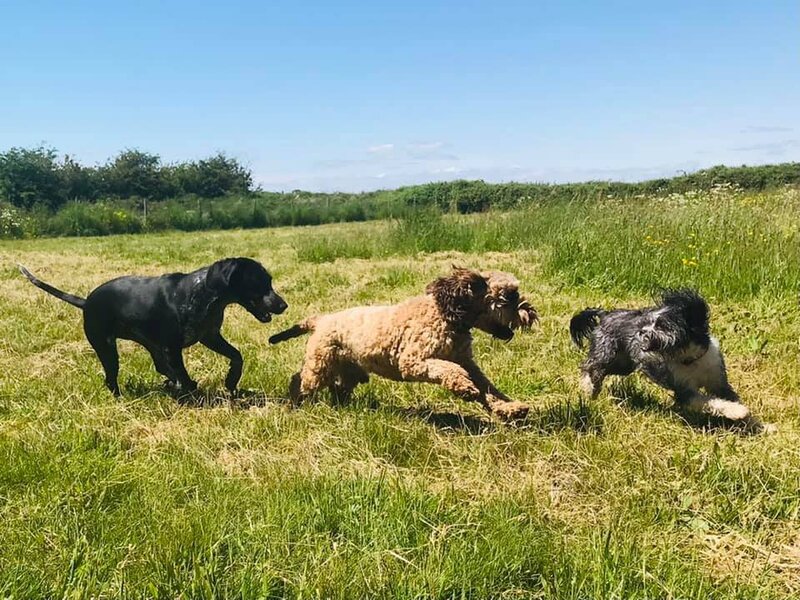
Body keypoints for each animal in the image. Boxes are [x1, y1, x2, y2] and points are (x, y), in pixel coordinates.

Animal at [19, 256, 288, 394]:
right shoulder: (172, 347)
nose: (284, 305)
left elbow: (237, 356)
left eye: (270, 281)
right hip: (106, 348)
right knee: (112, 379)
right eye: (260, 282)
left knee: (161, 368)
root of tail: (86, 302)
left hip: (150, 346)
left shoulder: (209, 336)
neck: (203, 293)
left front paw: (231, 380)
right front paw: (191, 391)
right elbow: (183, 375)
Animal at [568, 288, 752, 420]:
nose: (641, 331)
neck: (690, 360)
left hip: (624, 365)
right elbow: (710, 401)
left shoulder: (718, 382)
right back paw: (588, 388)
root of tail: (605, 314)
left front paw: (752, 423)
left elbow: (727, 396)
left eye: (661, 325)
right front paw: (738, 411)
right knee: (590, 366)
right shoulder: (684, 391)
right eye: (648, 321)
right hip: (606, 352)